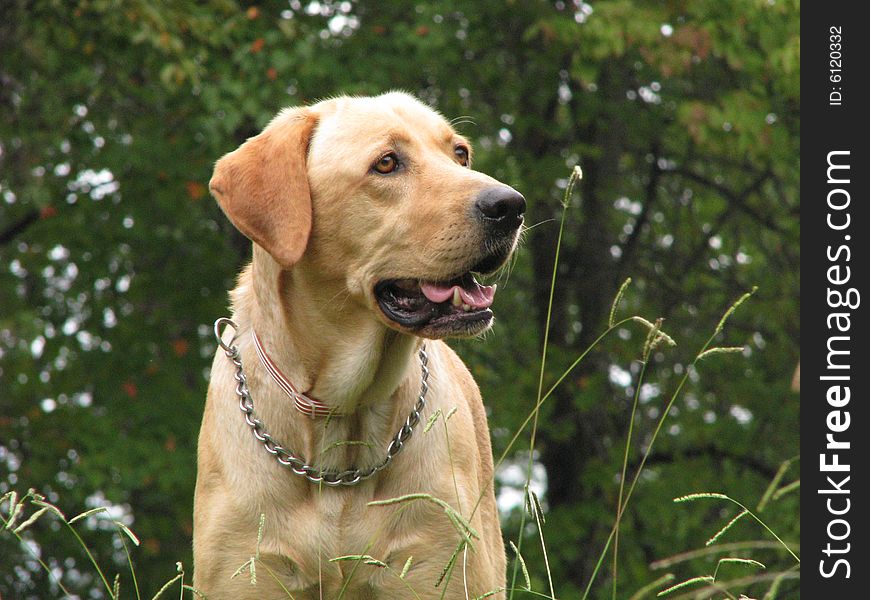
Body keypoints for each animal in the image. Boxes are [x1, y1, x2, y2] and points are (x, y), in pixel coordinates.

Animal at [196, 91, 524, 596]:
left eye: (460, 154)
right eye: (386, 163)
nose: (511, 205)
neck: (342, 413)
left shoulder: (432, 565)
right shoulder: (245, 566)